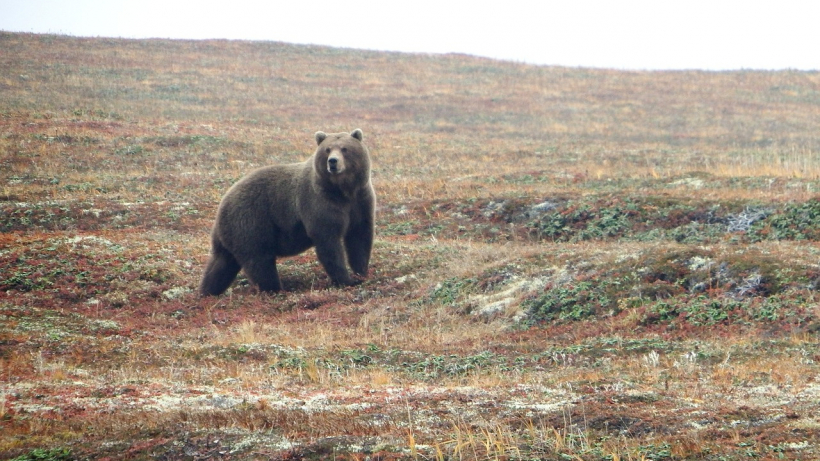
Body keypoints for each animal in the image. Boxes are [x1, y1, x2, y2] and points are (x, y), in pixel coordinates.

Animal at [200, 128, 376, 294]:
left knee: (221, 264)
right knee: (260, 260)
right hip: (250, 221)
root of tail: (223, 202)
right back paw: (275, 288)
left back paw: (207, 291)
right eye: (327, 149)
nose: (332, 161)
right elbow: (329, 241)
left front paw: (360, 272)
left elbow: (359, 237)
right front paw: (346, 280)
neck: (343, 190)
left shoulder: (360, 201)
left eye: (345, 148)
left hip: (229, 233)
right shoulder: (319, 202)